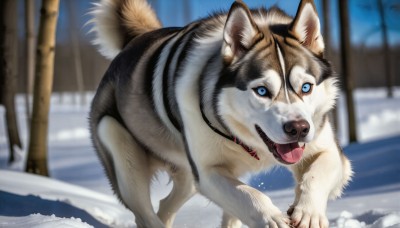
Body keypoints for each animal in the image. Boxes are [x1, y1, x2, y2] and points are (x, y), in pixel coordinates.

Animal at [89, 0, 352, 226]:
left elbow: (317, 173)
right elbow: (251, 197)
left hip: (187, 177)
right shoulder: (207, 173)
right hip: (119, 146)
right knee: (145, 213)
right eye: (262, 90)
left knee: (167, 205)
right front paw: (273, 219)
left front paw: (308, 212)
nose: (298, 128)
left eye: (306, 87)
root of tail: (135, 41)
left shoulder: (327, 151)